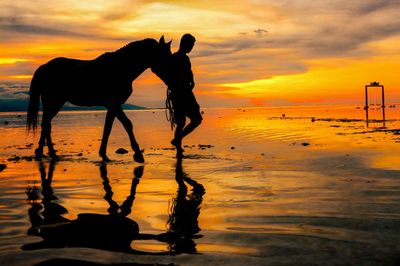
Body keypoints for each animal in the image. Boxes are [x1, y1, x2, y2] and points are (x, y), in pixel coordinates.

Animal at [27, 36, 171, 163]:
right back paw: (49, 153)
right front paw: (138, 154)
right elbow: (127, 124)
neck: (121, 68)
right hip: (53, 102)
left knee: (46, 124)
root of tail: (44, 67)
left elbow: (107, 128)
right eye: (165, 57)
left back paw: (44, 153)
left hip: (54, 103)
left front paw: (103, 153)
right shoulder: (115, 104)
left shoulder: (112, 106)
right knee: (46, 124)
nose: (171, 79)